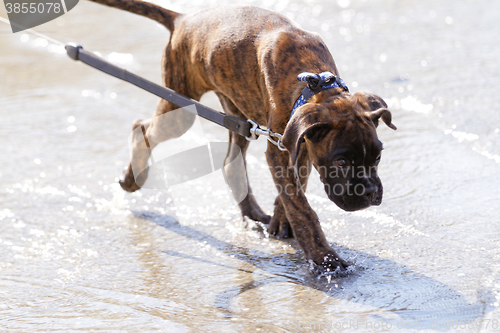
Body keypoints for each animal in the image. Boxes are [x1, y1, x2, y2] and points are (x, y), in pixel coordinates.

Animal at [88, 0, 396, 270]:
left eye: (377, 158)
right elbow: (301, 206)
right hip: (181, 109)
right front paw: (324, 258)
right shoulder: (282, 147)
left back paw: (252, 214)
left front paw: (282, 222)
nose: (370, 192)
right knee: (142, 127)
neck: (316, 84)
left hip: (236, 113)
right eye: (341, 162)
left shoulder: (300, 145)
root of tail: (182, 20)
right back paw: (131, 178)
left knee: (230, 164)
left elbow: (295, 190)